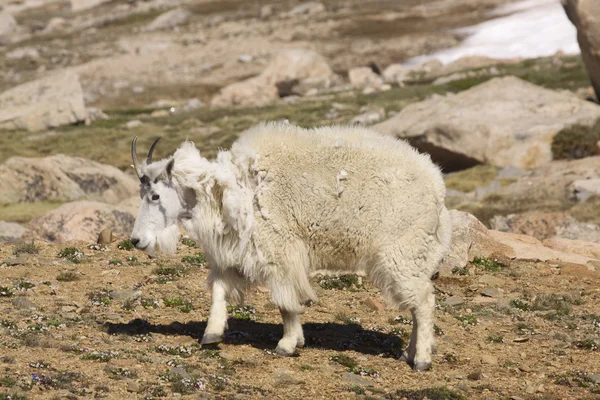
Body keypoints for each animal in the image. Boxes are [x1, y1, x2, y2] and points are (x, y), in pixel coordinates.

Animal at [130, 120, 450, 370]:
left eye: (155, 196)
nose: (136, 240)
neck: (230, 190)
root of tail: (437, 187)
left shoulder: (278, 252)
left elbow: (285, 302)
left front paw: (286, 344)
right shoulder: (238, 253)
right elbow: (220, 291)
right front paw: (211, 334)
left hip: (403, 252)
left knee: (423, 302)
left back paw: (421, 359)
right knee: (417, 305)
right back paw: (408, 353)